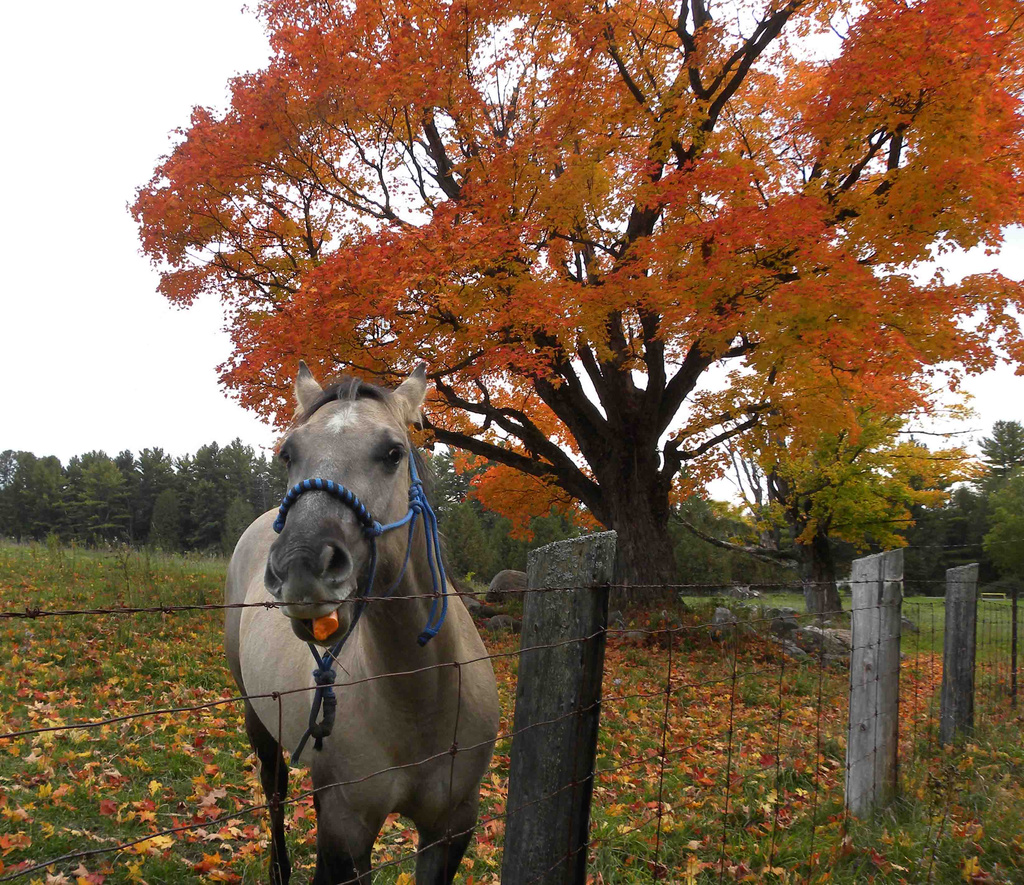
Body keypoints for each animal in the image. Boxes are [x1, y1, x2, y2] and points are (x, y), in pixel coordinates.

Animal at [224, 362, 499, 880]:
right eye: (288, 453)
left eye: (393, 453)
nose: (301, 564)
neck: (421, 698)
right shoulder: (344, 829)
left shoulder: (452, 826)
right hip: (257, 716)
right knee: (274, 793)